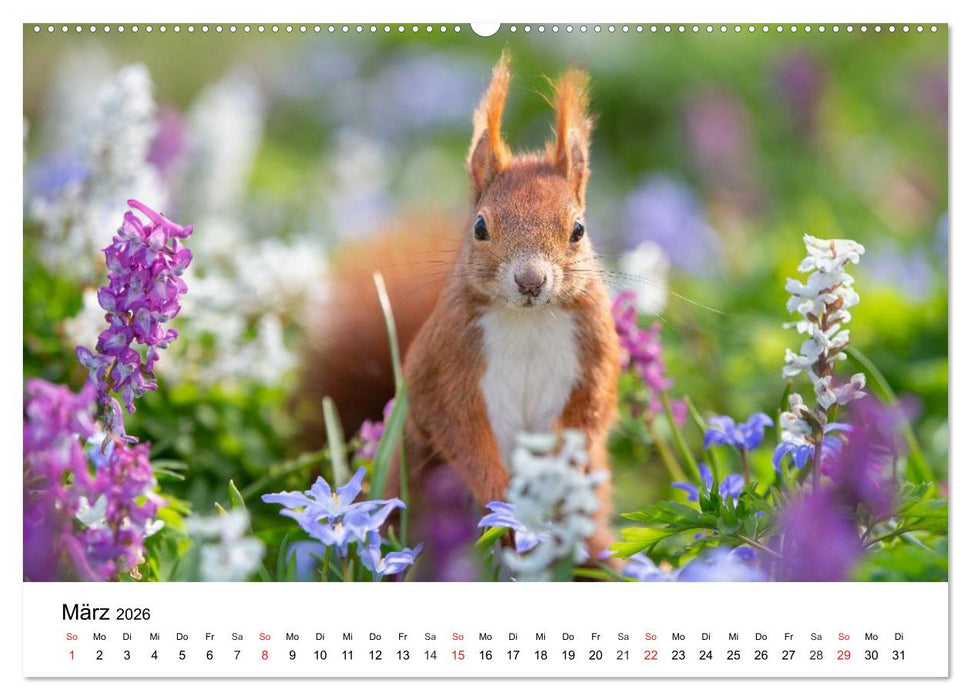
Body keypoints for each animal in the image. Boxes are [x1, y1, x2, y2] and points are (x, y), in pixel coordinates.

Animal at [301, 52, 620, 561]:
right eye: (480, 227)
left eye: (578, 230)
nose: (531, 280)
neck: (528, 320)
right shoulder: (447, 362)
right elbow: (457, 428)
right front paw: (501, 496)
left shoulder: (595, 355)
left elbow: (589, 417)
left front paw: (556, 483)